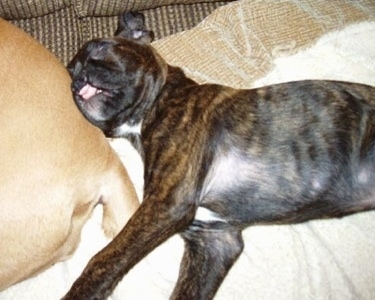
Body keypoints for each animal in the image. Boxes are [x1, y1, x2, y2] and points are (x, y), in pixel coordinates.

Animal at [64, 12, 375, 300]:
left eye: (100, 47)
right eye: (70, 71)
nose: (75, 81)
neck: (160, 102)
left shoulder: (168, 204)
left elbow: (104, 260)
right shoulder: (214, 240)